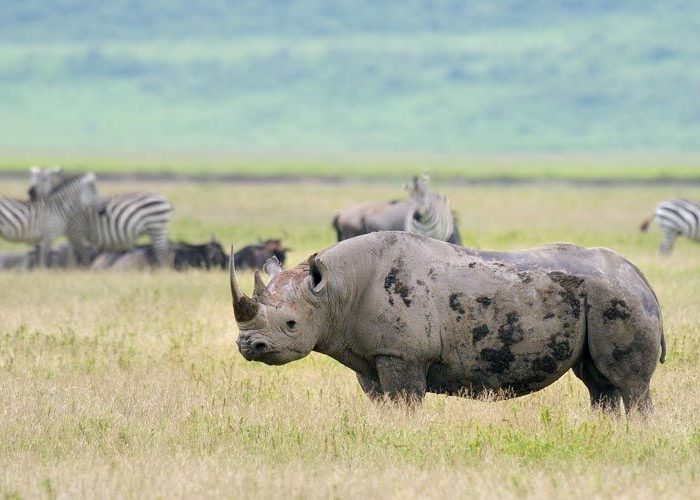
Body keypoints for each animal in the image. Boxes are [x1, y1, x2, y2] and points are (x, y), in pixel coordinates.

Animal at [30, 167, 175, 266]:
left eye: (45, 179)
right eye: (33, 178)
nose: (30, 192)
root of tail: (165, 200)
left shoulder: (77, 233)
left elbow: (78, 256)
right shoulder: (73, 235)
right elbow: (74, 256)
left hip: (156, 227)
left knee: (163, 254)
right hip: (159, 229)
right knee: (167, 252)